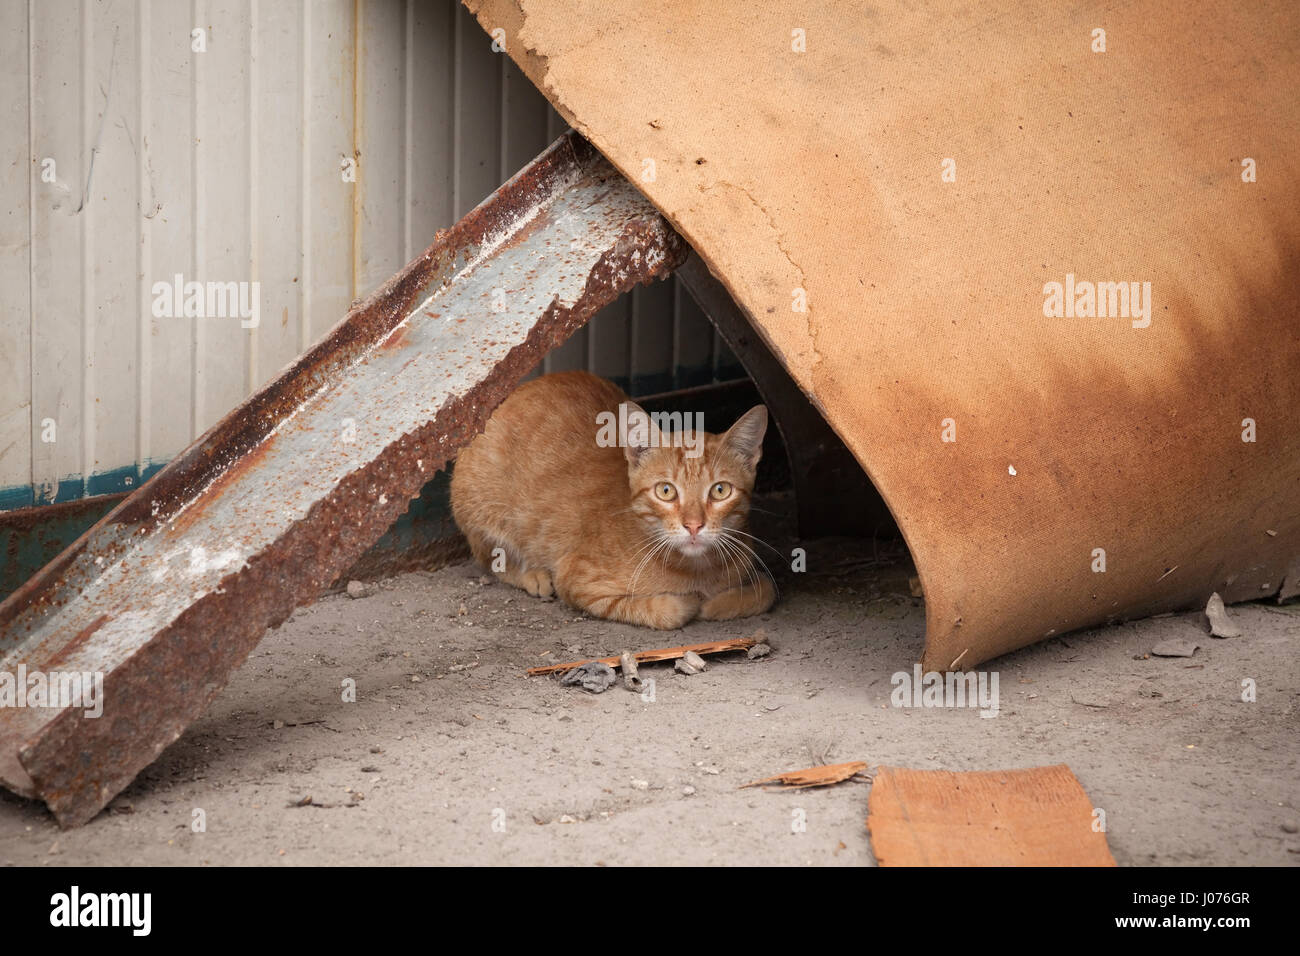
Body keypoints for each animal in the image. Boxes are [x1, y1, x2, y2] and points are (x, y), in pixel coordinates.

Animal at [452, 371, 769, 629]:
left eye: (720, 490)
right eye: (666, 491)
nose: (693, 526)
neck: (698, 568)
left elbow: (764, 594)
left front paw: (717, 602)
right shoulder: (579, 582)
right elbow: (665, 610)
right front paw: (691, 604)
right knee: (491, 559)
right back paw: (532, 574)